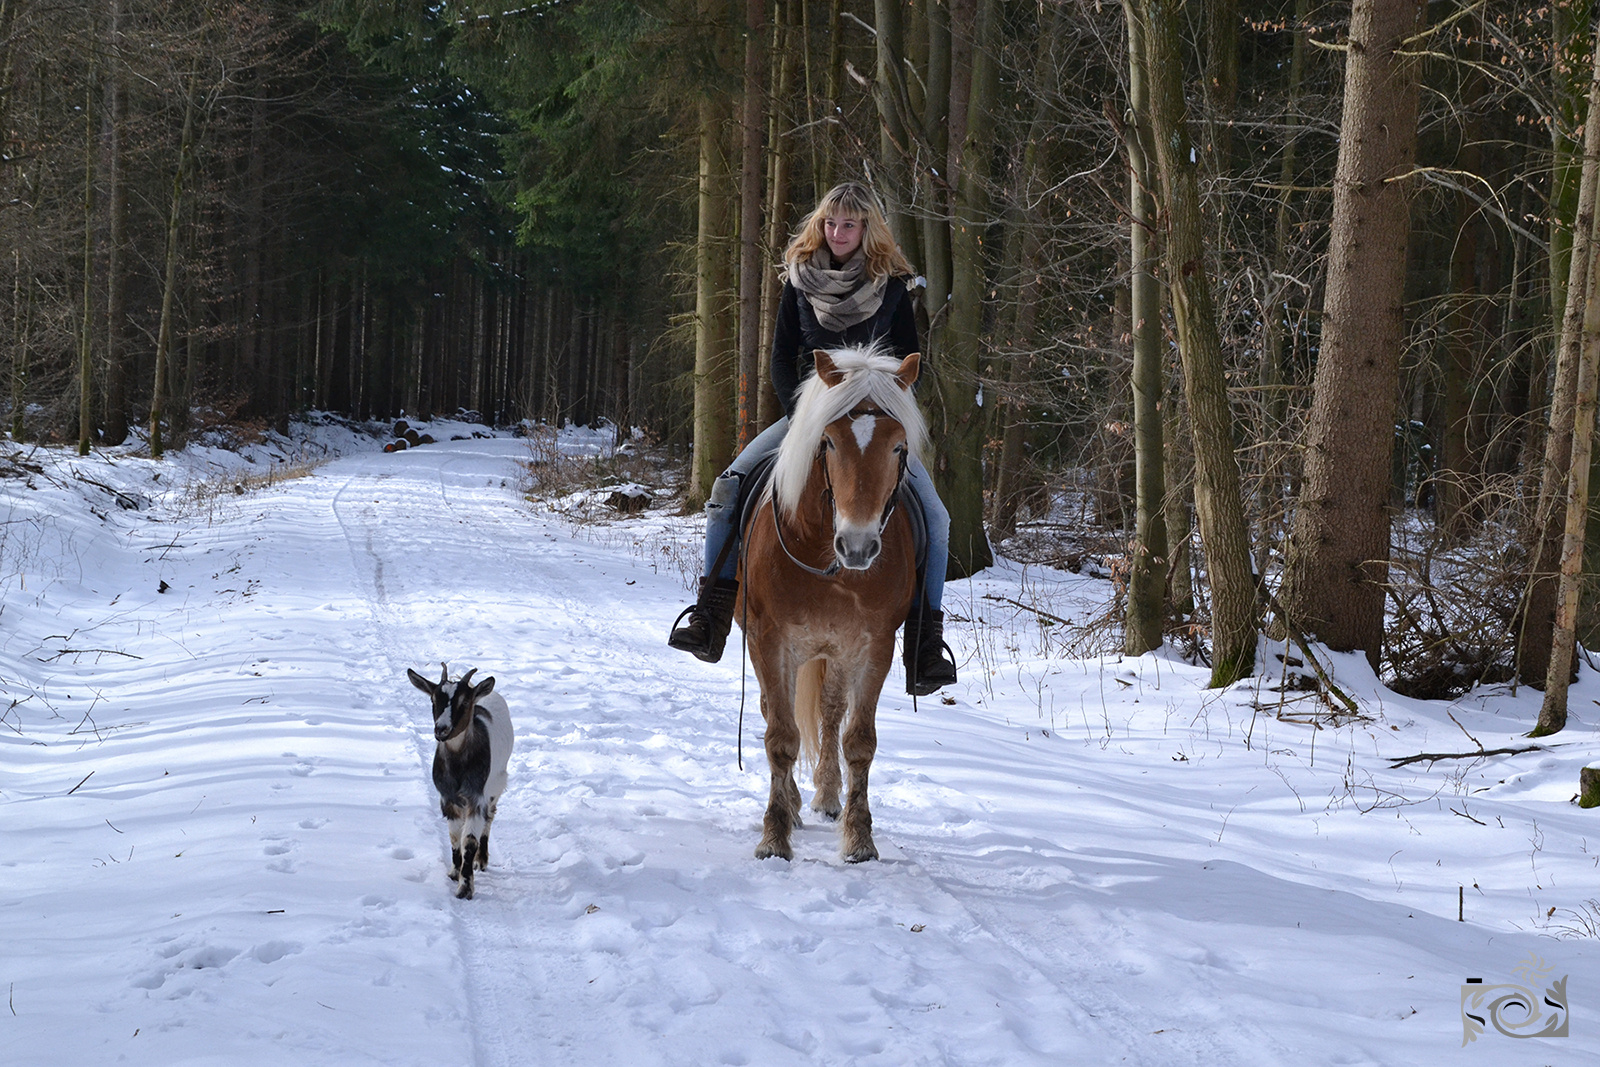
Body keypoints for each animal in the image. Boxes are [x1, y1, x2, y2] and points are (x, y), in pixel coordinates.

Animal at [406, 662, 512, 895]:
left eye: (464, 702)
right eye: (433, 700)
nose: (441, 729)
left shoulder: (476, 796)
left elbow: (469, 840)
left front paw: (465, 887)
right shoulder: (447, 797)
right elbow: (455, 837)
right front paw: (455, 872)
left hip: (496, 785)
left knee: (489, 818)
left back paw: (481, 860)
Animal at [732, 347, 921, 863]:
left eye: (899, 447)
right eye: (830, 442)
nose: (857, 546)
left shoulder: (875, 648)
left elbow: (859, 741)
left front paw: (860, 839)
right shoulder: (770, 641)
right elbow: (780, 738)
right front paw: (775, 836)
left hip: (834, 654)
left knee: (831, 714)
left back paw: (827, 797)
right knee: (772, 712)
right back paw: (795, 805)